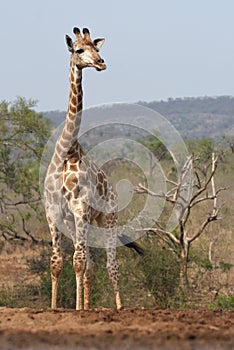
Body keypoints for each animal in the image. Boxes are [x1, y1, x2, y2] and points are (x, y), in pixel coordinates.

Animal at [43, 27, 124, 310]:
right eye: (79, 50)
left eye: (96, 48)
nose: (101, 63)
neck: (67, 153)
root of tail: (112, 188)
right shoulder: (54, 213)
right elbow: (57, 263)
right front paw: (55, 308)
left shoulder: (80, 209)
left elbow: (77, 263)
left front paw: (77, 309)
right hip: (83, 222)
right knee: (90, 265)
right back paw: (88, 307)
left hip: (108, 219)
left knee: (111, 266)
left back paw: (120, 308)